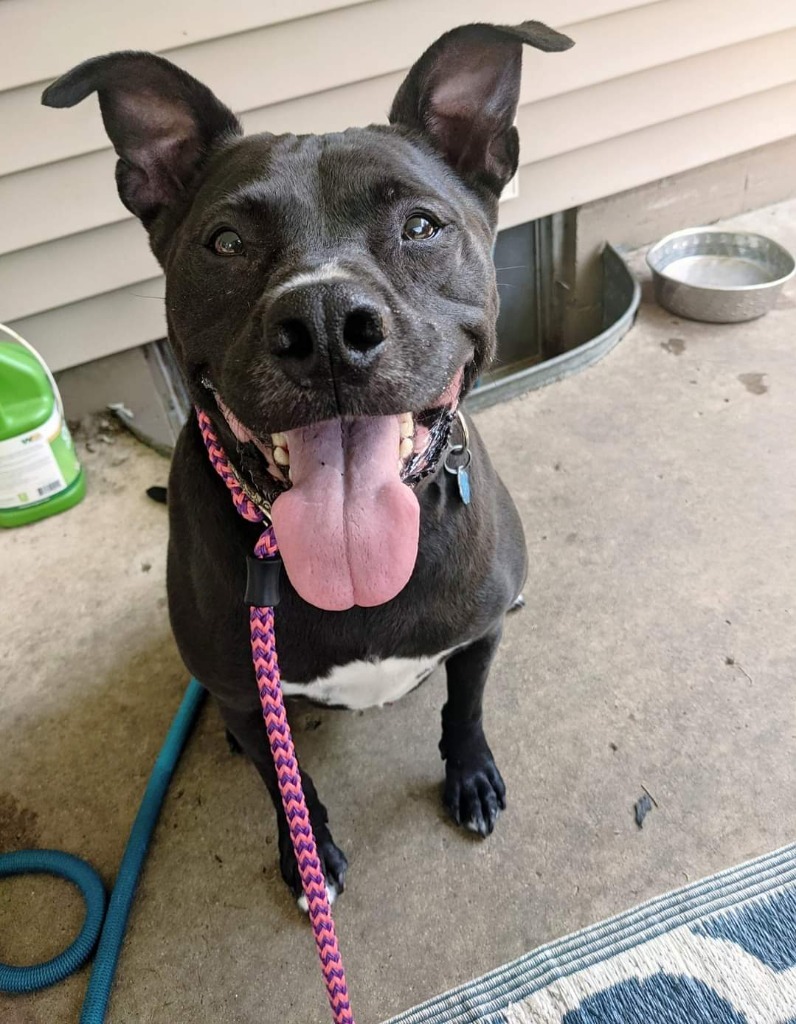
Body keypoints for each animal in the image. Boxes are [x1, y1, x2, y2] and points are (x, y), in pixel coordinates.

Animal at [43, 22, 569, 905]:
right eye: (226, 242)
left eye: (421, 227)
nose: (324, 323)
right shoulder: (247, 698)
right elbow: (285, 783)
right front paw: (308, 853)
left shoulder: (478, 635)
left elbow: (463, 709)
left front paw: (469, 776)